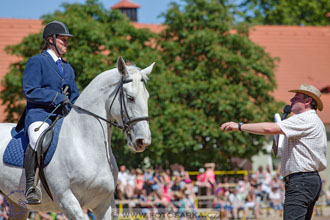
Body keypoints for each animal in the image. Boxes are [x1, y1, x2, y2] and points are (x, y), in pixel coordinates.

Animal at [0, 56, 154, 218]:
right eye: (130, 98)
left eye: (147, 97)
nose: (143, 141)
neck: (86, 146)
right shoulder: (67, 200)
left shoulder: (104, 204)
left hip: (18, 205)